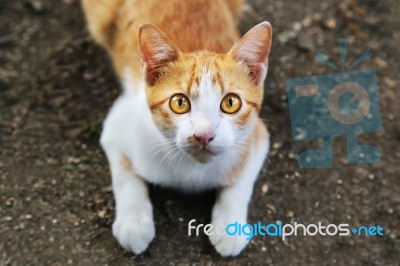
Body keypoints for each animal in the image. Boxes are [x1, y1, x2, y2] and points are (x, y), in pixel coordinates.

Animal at [83, 0, 274, 256]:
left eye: (231, 103)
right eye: (179, 103)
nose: (204, 135)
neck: (192, 169)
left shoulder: (258, 137)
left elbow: (240, 182)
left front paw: (229, 226)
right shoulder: (116, 125)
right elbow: (125, 176)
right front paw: (134, 222)